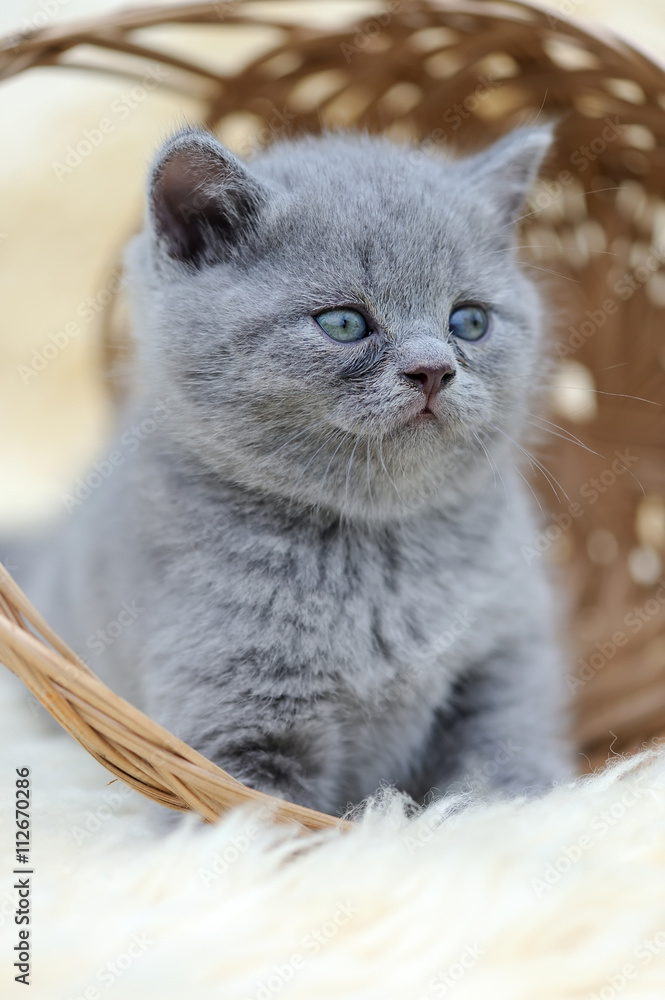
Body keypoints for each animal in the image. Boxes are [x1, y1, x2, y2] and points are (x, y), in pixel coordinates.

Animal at [6, 123, 572, 812]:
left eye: (468, 320)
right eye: (345, 322)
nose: (434, 369)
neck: (374, 552)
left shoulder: (506, 662)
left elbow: (502, 773)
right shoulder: (235, 731)